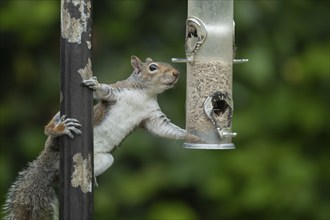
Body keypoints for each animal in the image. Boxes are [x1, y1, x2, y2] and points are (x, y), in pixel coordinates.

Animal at [3, 55, 197, 219]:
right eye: (153, 67)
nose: (176, 73)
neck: (145, 93)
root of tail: (48, 160)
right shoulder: (117, 92)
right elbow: (104, 91)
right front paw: (95, 85)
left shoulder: (152, 118)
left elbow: (164, 130)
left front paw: (191, 135)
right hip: (56, 132)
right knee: (47, 130)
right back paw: (59, 128)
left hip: (104, 159)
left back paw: (92, 177)